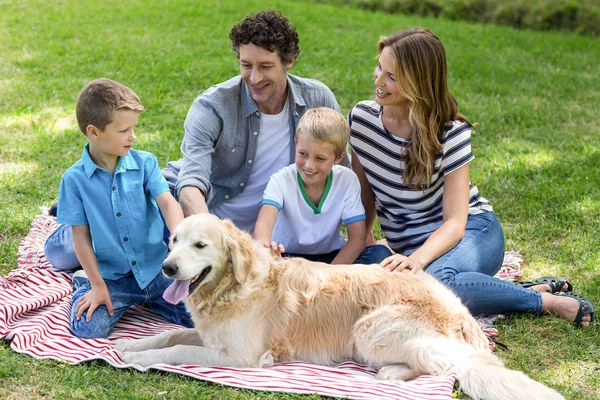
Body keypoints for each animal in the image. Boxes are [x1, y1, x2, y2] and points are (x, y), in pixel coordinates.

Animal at [115, 216, 564, 400]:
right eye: (173, 241)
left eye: (200, 245)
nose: (168, 267)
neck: (233, 286)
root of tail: (460, 311)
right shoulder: (209, 335)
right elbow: (170, 333)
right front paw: (129, 347)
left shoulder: (239, 357)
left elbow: (177, 349)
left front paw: (140, 359)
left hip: (368, 327)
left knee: (444, 365)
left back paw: (394, 372)